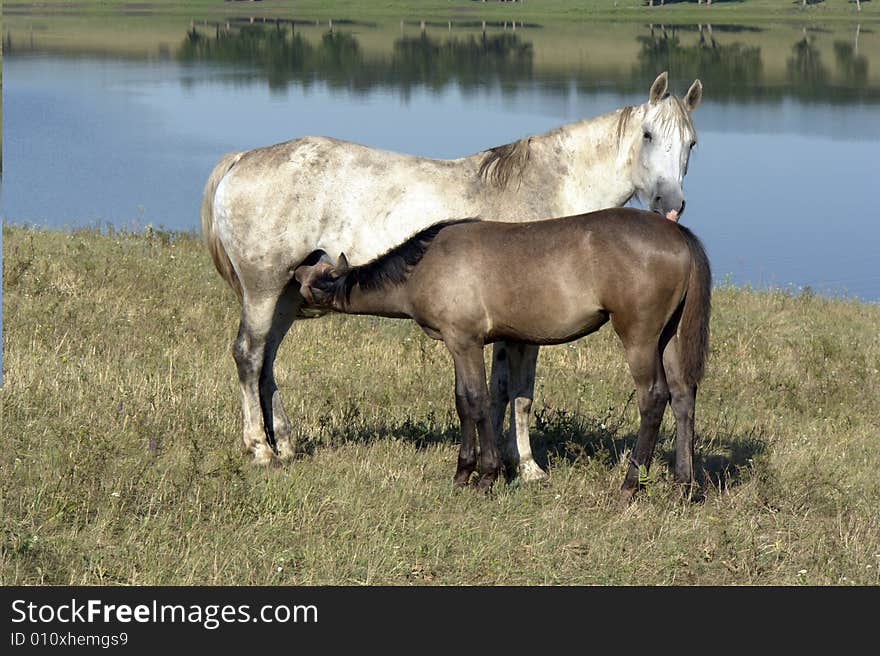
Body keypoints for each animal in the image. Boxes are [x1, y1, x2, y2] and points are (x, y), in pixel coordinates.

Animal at [205, 72, 700, 476]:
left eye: (692, 143)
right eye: (648, 134)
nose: (671, 205)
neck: (549, 189)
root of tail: (242, 159)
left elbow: (505, 392)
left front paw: (506, 461)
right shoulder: (519, 331)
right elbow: (515, 394)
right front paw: (521, 466)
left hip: (289, 294)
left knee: (267, 362)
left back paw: (285, 445)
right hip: (264, 289)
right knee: (248, 355)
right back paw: (261, 450)